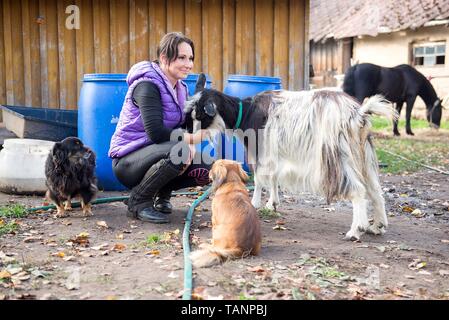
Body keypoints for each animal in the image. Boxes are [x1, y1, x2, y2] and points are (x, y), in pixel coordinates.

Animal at [184, 75, 398, 240]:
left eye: (201, 115)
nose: (190, 135)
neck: (246, 112)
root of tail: (358, 113)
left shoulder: (260, 149)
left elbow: (260, 177)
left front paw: (255, 203)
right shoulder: (274, 152)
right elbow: (273, 177)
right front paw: (272, 204)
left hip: (337, 155)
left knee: (358, 189)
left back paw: (355, 230)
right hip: (363, 154)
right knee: (375, 189)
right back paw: (377, 226)